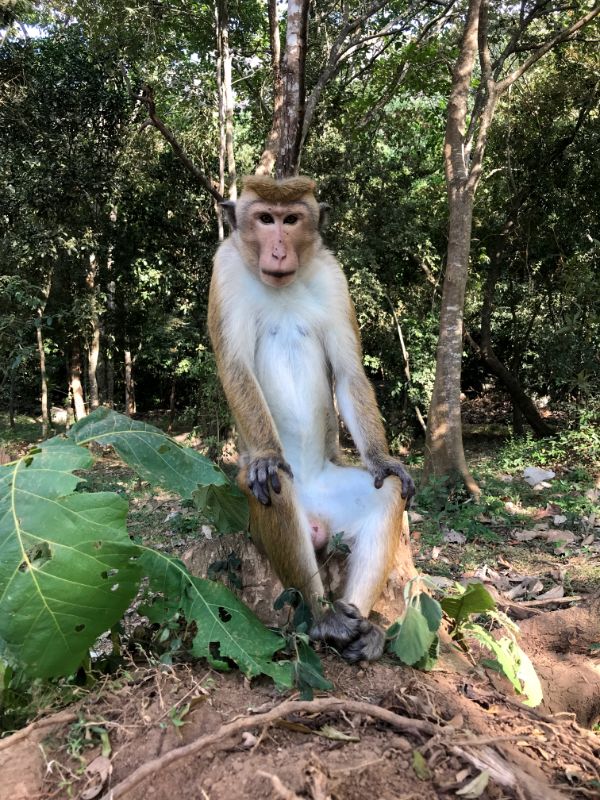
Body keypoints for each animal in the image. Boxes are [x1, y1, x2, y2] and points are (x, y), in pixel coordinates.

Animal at [209, 175, 414, 664]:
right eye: (265, 219)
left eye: (291, 220)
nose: (279, 250)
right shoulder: (224, 270)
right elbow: (235, 367)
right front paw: (266, 456)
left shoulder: (333, 277)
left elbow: (349, 369)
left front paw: (383, 459)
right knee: (275, 489)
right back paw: (325, 619)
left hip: (336, 497)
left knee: (386, 496)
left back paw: (362, 625)